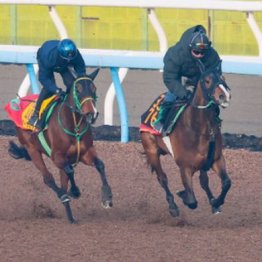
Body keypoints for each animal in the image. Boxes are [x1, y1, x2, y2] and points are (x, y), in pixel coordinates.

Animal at [7, 68, 112, 223]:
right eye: (78, 89)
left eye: (94, 88)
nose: (91, 113)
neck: (74, 125)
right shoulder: (57, 157)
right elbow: (69, 171)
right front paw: (74, 191)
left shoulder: (85, 153)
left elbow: (100, 165)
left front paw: (107, 197)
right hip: (32, 150)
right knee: (48, 178)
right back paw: (63, 196)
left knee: (62, 179)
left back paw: (70, 216)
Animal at [141, 61, 231, 217]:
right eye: (207, 81)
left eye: (223, 78)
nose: (224, 96)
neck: (198, 128)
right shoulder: (185, 167)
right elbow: (192, 200)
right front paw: (182, 195)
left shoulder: (216, 159)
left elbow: (226, 183)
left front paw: (216, 202)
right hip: (151, 149)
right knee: (162, 178)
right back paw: (173, 207)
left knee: (203, 181)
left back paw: (212, 202)